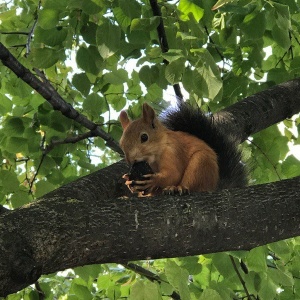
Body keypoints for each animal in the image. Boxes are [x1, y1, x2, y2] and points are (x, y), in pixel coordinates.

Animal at [118, 102, 247, 197]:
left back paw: (177, 188)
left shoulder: (173, 151)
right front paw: (128, 181)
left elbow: (173, 174)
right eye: (121, 143)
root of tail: (214, 186)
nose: (131, 160)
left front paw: (153, 180)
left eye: (144, 137)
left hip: (201, 164)